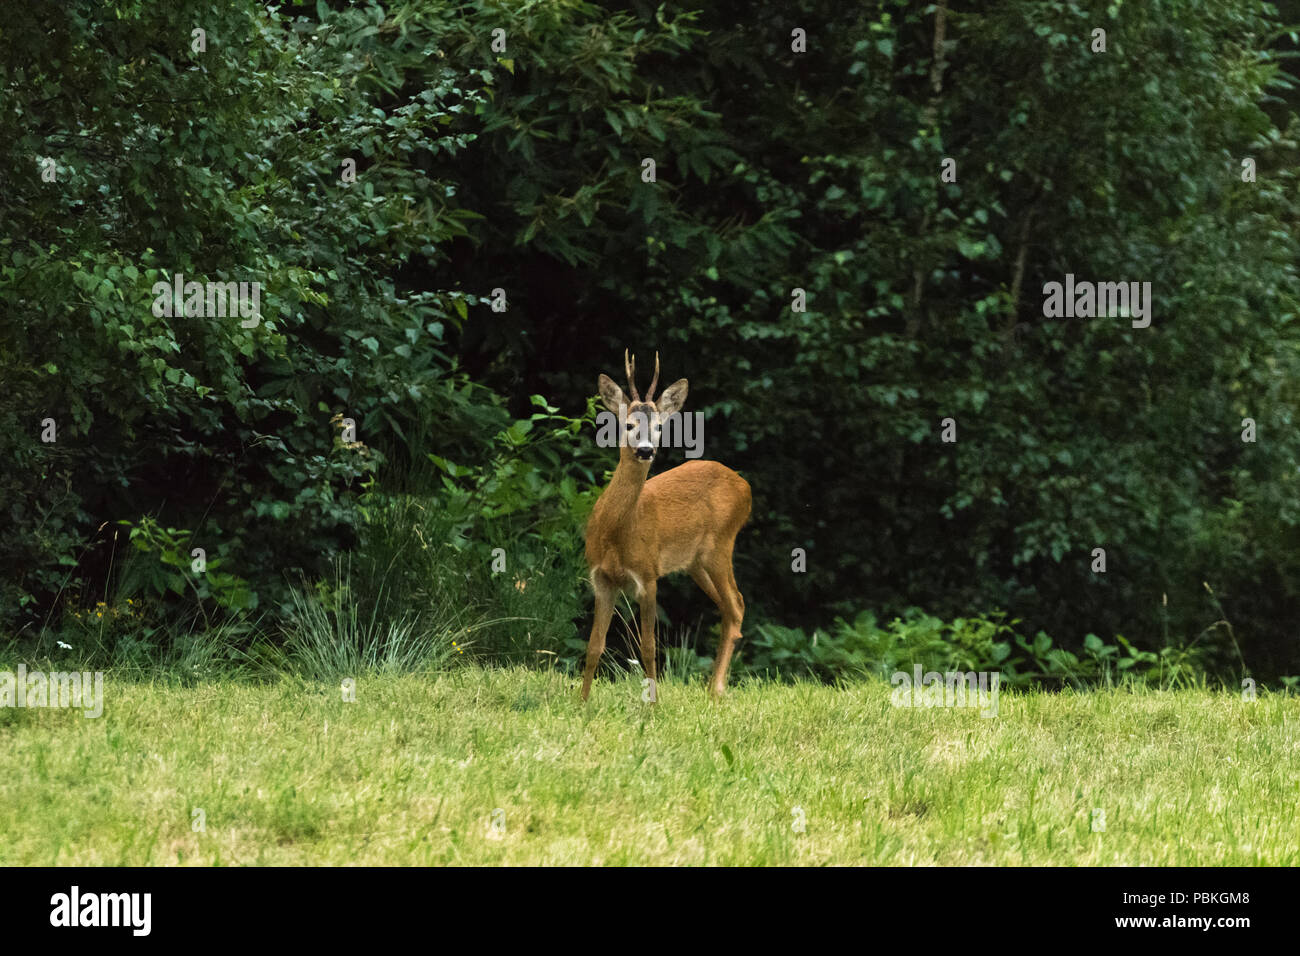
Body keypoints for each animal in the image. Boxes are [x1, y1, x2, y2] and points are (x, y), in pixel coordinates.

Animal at [581, 350, 751, 702]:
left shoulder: (648, 575)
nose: (646, 450)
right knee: (729, 608)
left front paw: (654, 704)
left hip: (721, 545)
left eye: (659, 426)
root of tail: (746, 487)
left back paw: (716, 689)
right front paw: (582, 701)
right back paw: (713, 686)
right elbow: (594, 646)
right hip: (695, 562)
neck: (616, 534)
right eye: (629, 424)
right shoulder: (601, 577)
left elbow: (648, 647)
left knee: (737, 604)